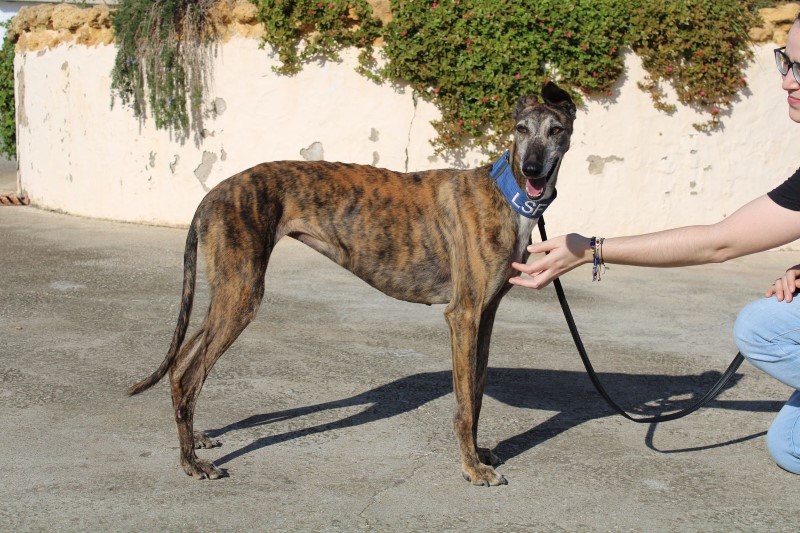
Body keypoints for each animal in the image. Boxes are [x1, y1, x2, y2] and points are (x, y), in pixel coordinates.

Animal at [129, 81, 576, 486]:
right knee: (188, 375)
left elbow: (477, 393)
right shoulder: (463, 314)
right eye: (520, 129)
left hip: (227, 291)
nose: (533, 169)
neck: (507, 193)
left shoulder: (485, 315)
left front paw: (479, 453)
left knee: (180, 367)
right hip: (241, 294)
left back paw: (195, 438)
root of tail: (213, 194)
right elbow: (465, 404)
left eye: (556, 129)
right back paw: (190, 463)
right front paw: (472, 468)